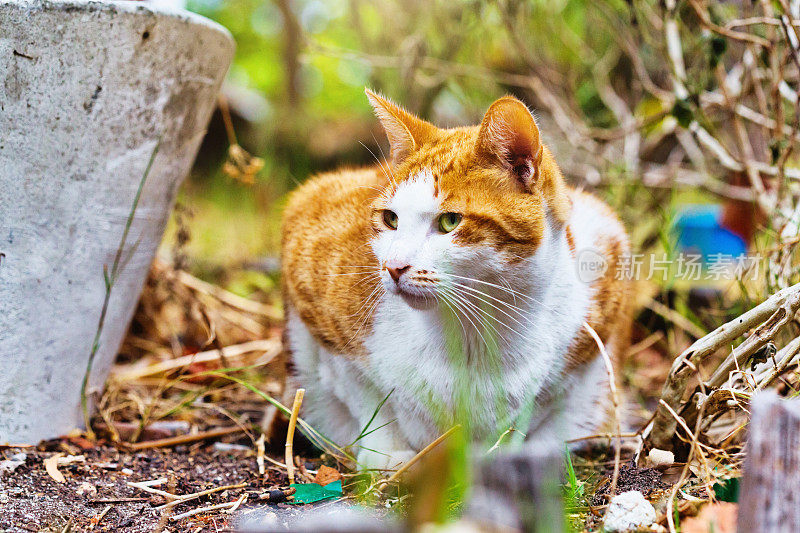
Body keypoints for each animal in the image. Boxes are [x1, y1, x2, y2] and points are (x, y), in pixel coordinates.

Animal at [280, 89, 632, 468]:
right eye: (391, 219)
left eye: (450, 222)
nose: (393, 267)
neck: (471, 331)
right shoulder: (310, 243)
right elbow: (366, 394)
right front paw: (387, 453)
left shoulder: (605, 260)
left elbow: (537, 413)